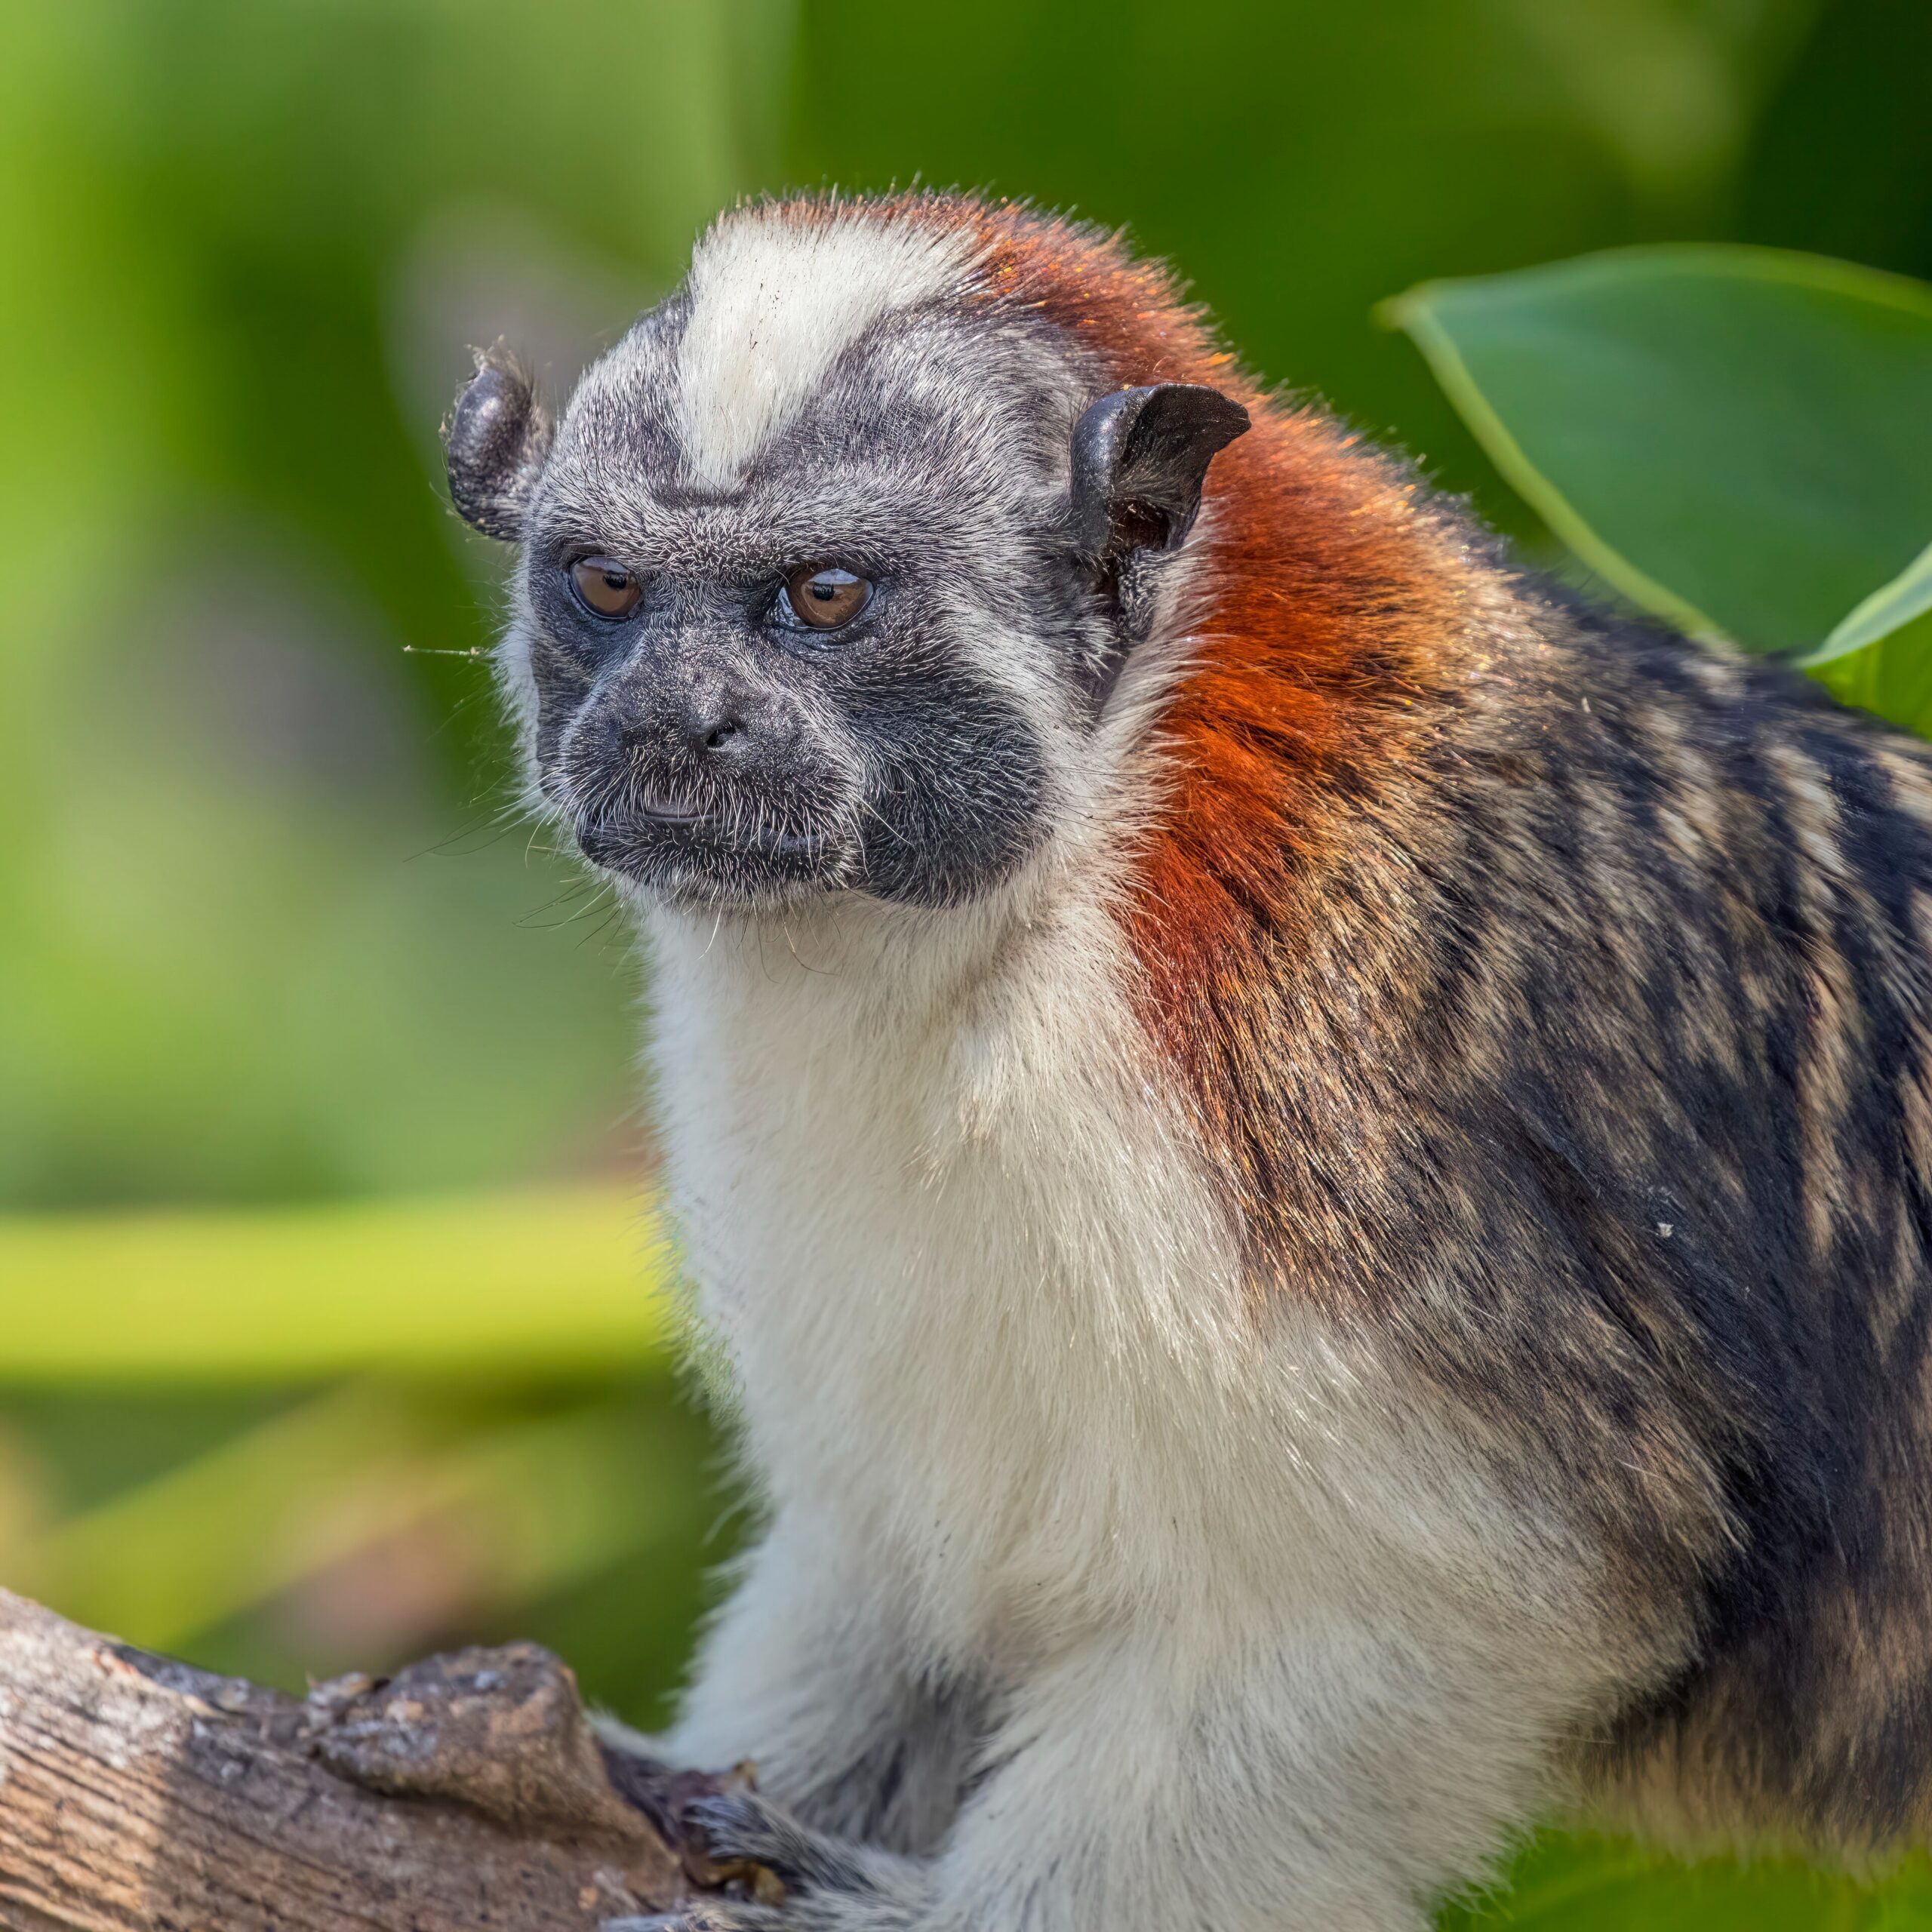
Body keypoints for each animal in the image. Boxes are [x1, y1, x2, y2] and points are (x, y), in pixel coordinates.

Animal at [442, 193, 1932, 1932]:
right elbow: (904, 1562)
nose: (677, 721)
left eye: (824, 597)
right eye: (606, 585)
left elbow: (1486, 1578)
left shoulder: (1278, 1080)